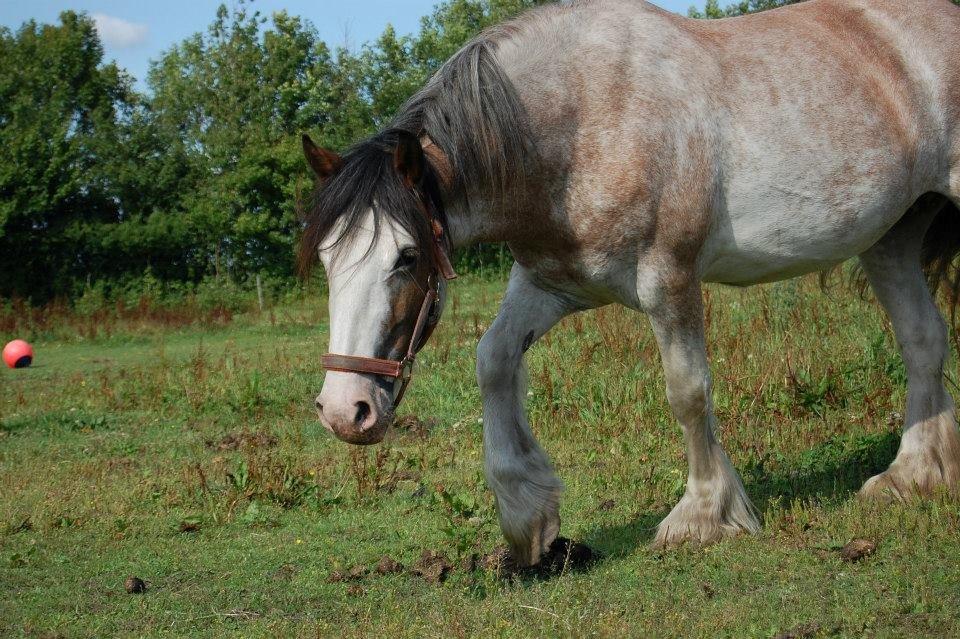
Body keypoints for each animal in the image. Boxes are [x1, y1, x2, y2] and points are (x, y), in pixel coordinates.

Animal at [298, 0, 960, 564]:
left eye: (407, 257)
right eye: (327, 259)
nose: (344, 410)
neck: (582, 122)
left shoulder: (669, 278)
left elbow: (688, 390)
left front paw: (701, 516)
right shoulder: (551, 284)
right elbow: (493, 361)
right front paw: (528, 516)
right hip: (891, 239)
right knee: (923, 339)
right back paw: (913, 475)